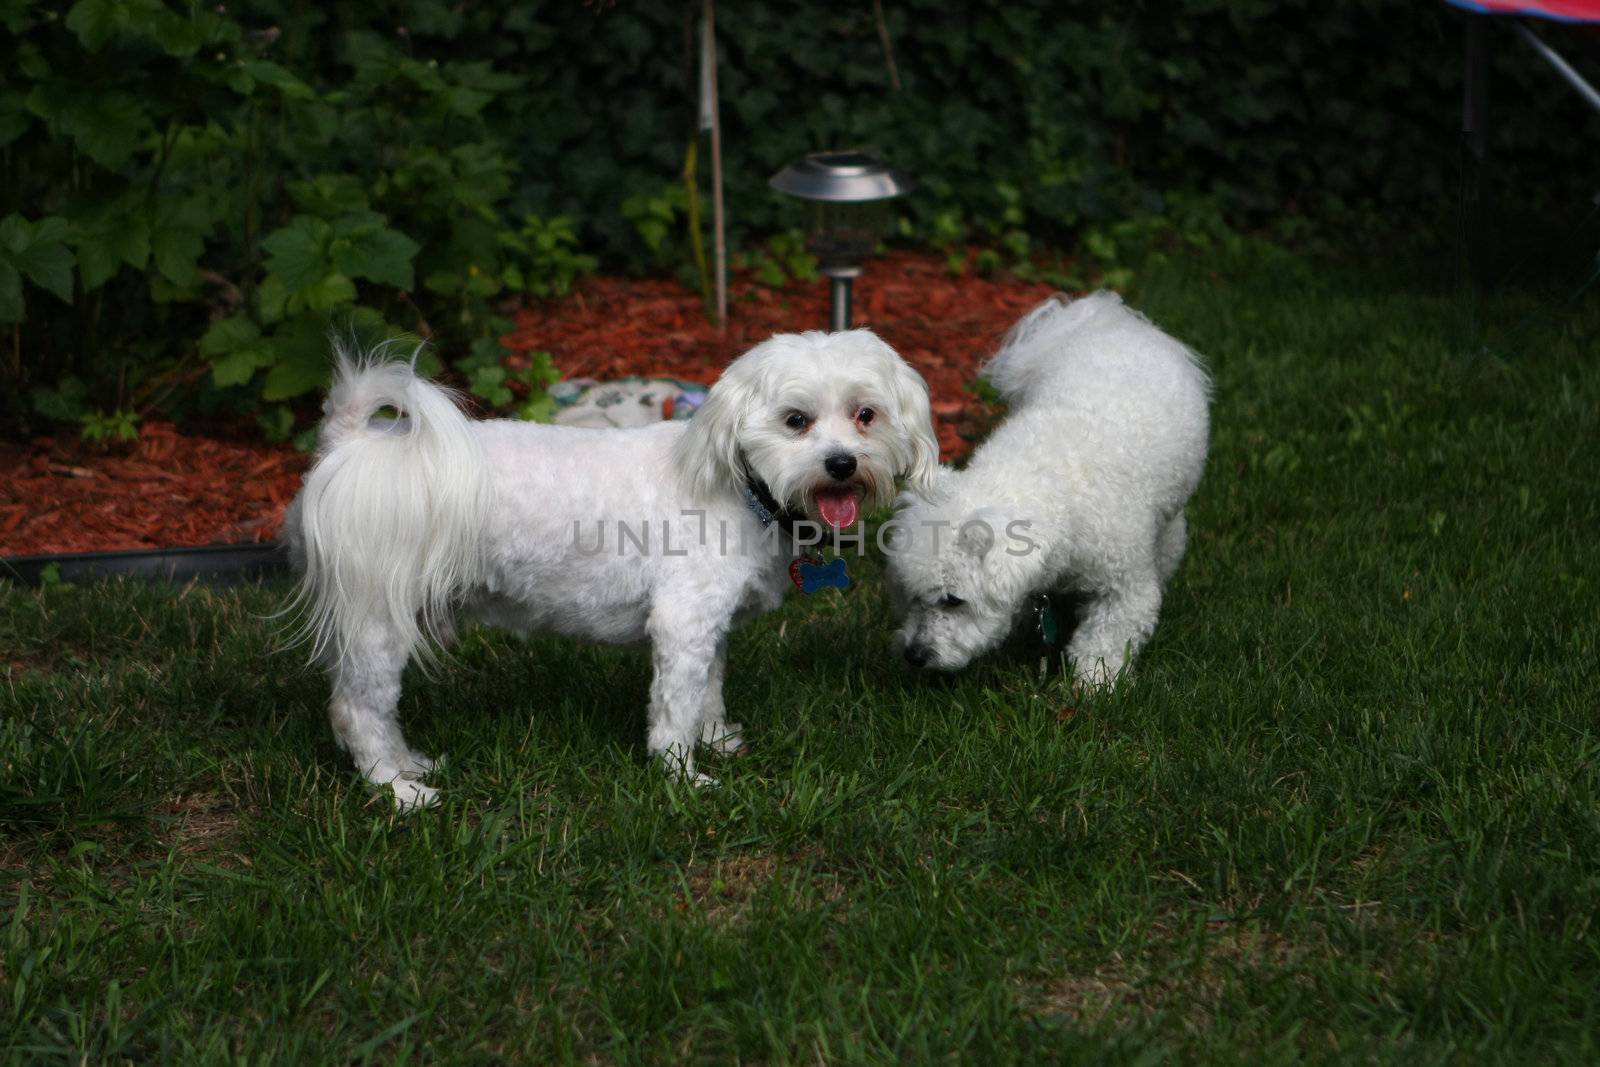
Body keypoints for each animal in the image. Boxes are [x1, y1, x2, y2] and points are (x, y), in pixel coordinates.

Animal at [288, 329, 934, 806]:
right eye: (796, 420)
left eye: (866, 415)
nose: (843, 463)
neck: (739, 486)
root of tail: (349, 443)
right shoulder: (682, 621)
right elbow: (675, 706)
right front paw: (683, 776)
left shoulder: (708, 626)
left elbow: (708, 689)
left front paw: (716, 740)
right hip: (377, 615)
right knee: (357, 708)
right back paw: (398, 791)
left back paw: (410, 765)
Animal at [883, 294, 1203, 684]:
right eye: (910, 594)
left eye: (953, 600)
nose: (914, 655)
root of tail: (1111, 319)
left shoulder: (1124, 587)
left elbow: (1108, 637)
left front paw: (1094, 682)